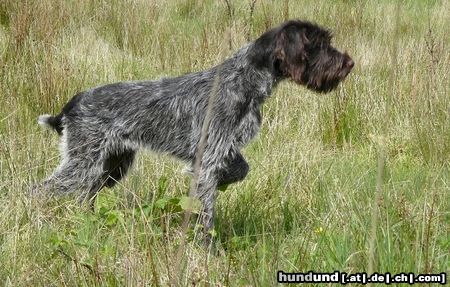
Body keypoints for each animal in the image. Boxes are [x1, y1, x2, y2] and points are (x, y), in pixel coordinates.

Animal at [37, 19, 354, 241]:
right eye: (320, 45)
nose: (349, 63)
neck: (244, 80)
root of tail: (72, 104)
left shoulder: (221, 149)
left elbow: (241, 168)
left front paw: (227, 178)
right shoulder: (209, 157)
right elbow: (207, 213)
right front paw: (208, 251)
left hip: (111, 165)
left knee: (86, 194)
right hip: (83, 164)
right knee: (41, 190)